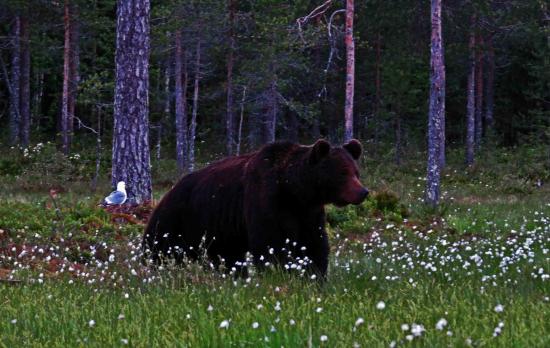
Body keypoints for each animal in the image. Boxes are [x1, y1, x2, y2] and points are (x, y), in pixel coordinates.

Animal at [142, 139, 368, 278]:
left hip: (220, 232)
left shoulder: (307, 212)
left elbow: (314, 244)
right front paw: (279, 273)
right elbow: (269, 243)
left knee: (227, 257)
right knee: (158, 249)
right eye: (342, 173)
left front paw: (314, 277)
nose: (363, 192)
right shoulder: (266, 199)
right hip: (176, 219)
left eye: (356, 172)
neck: (293, 189)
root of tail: (169, 191)